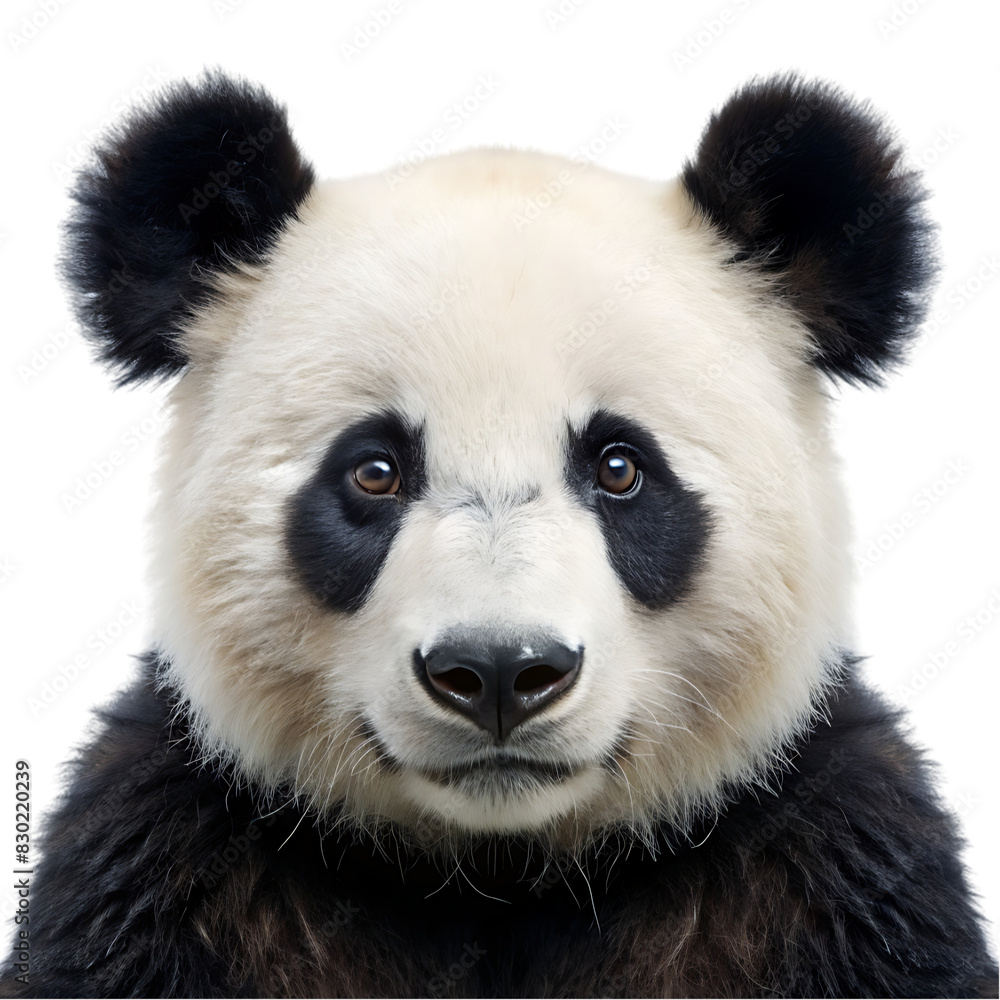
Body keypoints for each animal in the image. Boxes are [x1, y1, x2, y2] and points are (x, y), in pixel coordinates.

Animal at [2, 70, 997, 998]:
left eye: (620, 467)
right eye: (374, 471)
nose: (498, 673)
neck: (502, 872)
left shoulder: (824, 881)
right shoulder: (176, 879)